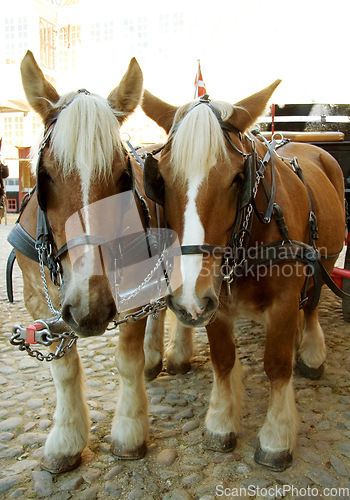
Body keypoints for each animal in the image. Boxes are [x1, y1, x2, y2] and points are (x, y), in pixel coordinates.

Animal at [10, 50, 179, 472]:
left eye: (122, 177)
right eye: (45, 176)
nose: (91, 310)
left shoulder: (129, 292)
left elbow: (127, 358)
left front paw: (130, 430)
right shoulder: (39, 298)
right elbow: (64, 368)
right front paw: (67, 439)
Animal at [142, 84, 344, 470]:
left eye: (238, 178)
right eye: (160, 179)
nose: (187, 299)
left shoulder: (281, 301)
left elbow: (277, 365)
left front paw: (276, 437)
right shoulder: (214, 302)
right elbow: (223, 360)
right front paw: (221, 421)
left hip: (323, 259)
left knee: (311, 303)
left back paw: (311, 351)